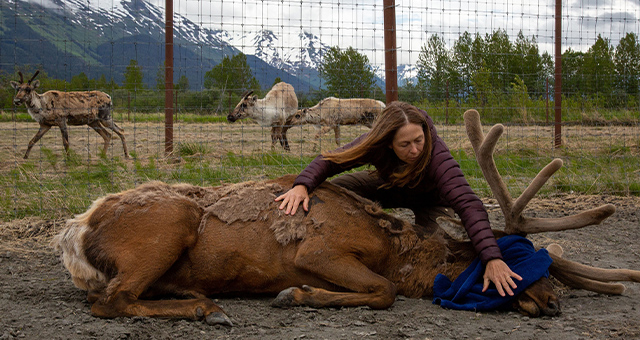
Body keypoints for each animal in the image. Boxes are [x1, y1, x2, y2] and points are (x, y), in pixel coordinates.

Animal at [55, 109, 640, 324]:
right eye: (517, 261)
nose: (556, 302)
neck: (400, 253)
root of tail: (74, 232)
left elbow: (382, 288)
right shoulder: (321, 248)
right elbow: (383, 290)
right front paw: (296, 294)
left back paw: (196, 294)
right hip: (166, 226)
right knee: (110, 301)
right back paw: (205, 308)